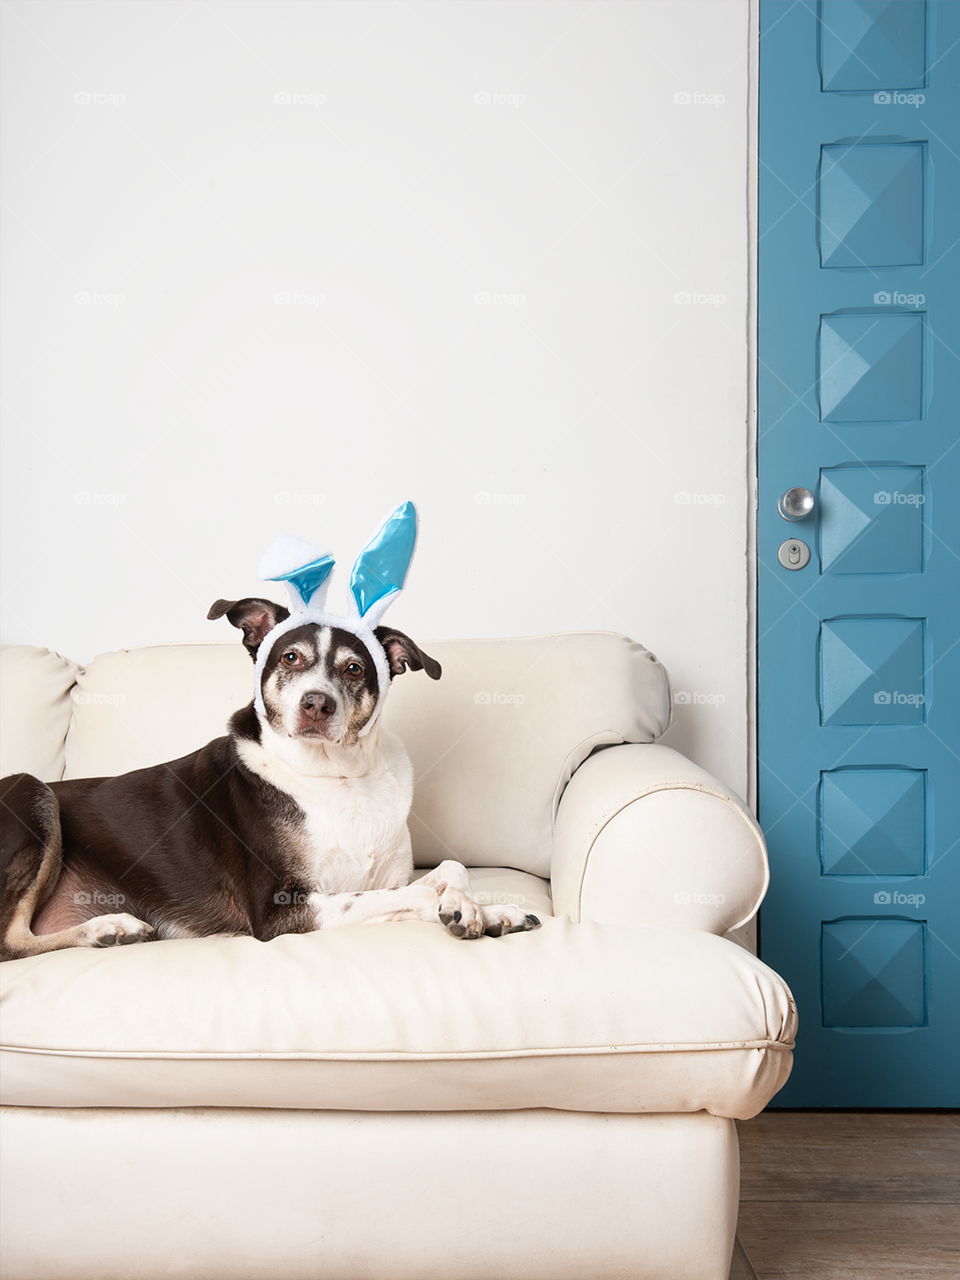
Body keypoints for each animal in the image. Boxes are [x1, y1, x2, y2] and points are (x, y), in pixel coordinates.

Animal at [0, 599, 542, 962]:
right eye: (290, 658)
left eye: (354, 667)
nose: (317, 703)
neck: (337, 777)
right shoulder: (281, 909)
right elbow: (412, 896)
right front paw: (464, 911)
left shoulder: (389, 875)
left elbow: (448, 869)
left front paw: (493, 910)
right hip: (31, 789)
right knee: (10, 942)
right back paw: (107, 927)